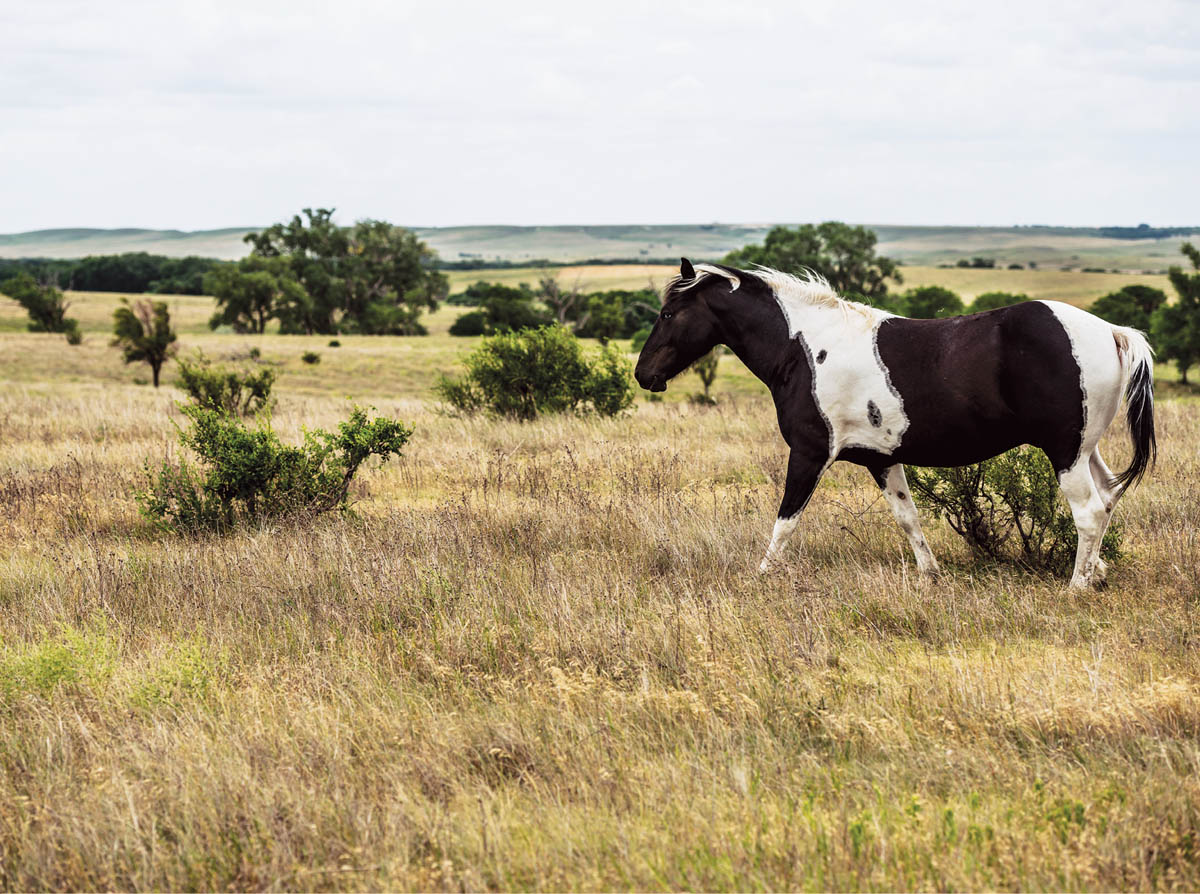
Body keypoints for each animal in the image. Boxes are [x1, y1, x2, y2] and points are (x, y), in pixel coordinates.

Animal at [633, 258, 1156, 585]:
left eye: (669, 313)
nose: (643, 374)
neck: (804, 350)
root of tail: (1112, 332)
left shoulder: (809, 454)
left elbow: (786, 520)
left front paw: (761, 576)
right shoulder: (880, 460)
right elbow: (908, 518)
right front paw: (931, 575)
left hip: (1065, 452)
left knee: (1089, 512)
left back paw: (1076, 587)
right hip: (1084, 449)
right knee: (1109, 497)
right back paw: (1097, 573)